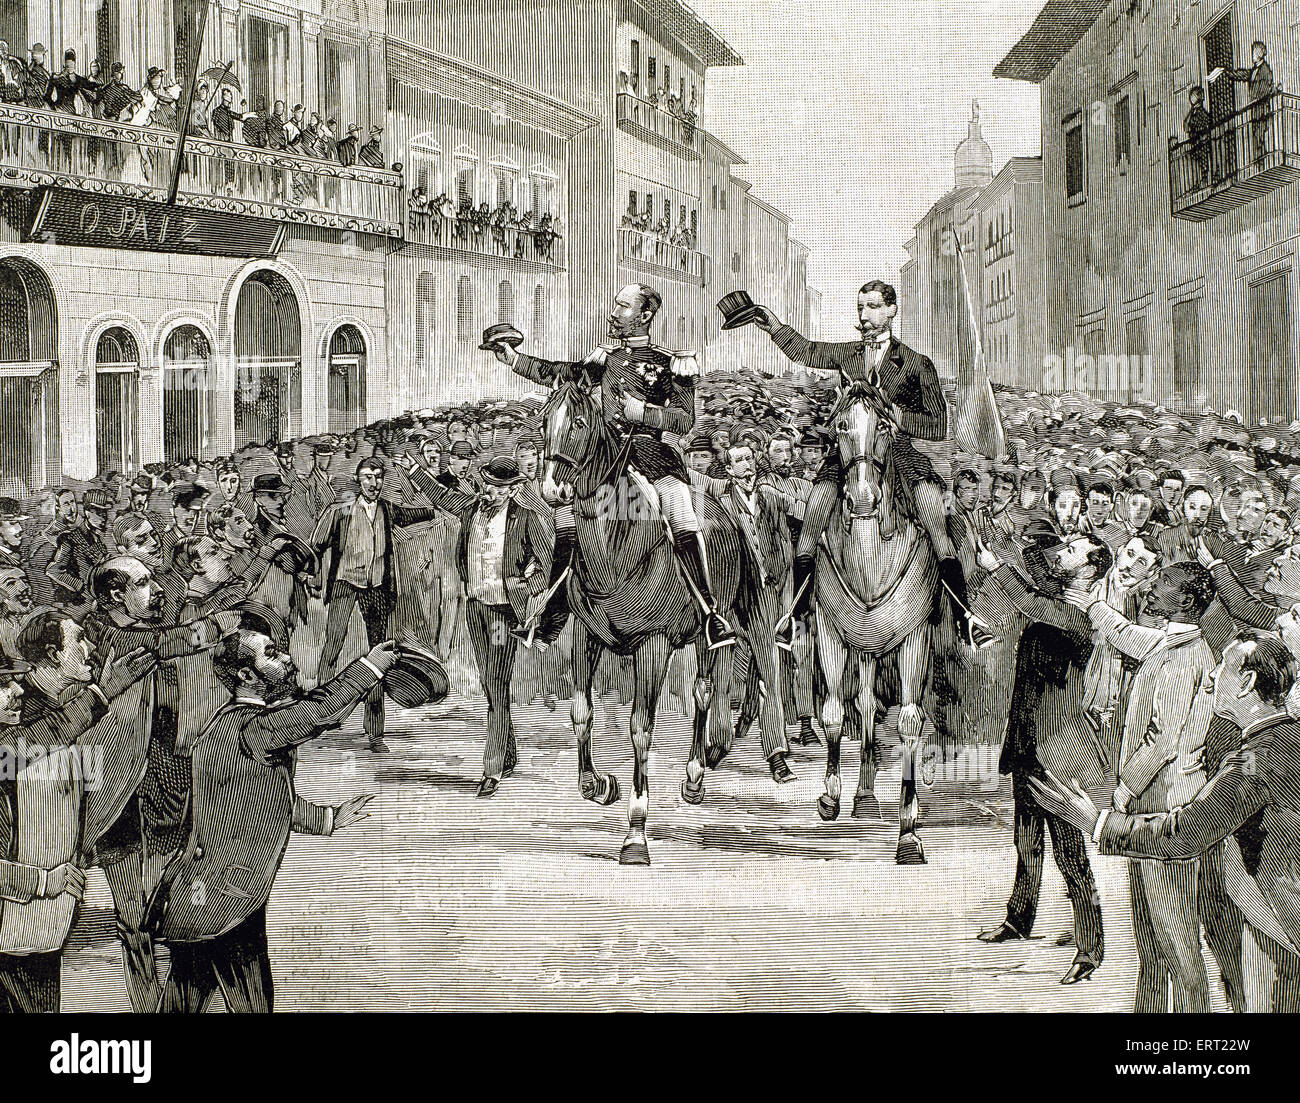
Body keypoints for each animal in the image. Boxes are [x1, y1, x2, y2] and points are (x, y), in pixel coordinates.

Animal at [540, 374, 754, 863]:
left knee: (704, 691)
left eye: (578, 422)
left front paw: (635, 832)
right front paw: (598, 784)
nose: (553, 491)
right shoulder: (585, 636)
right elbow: (581, 711)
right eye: (545, 422)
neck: (614, 550)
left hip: (707, 634)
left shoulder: (652, 647)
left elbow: (640, 728)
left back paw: (695, 776)